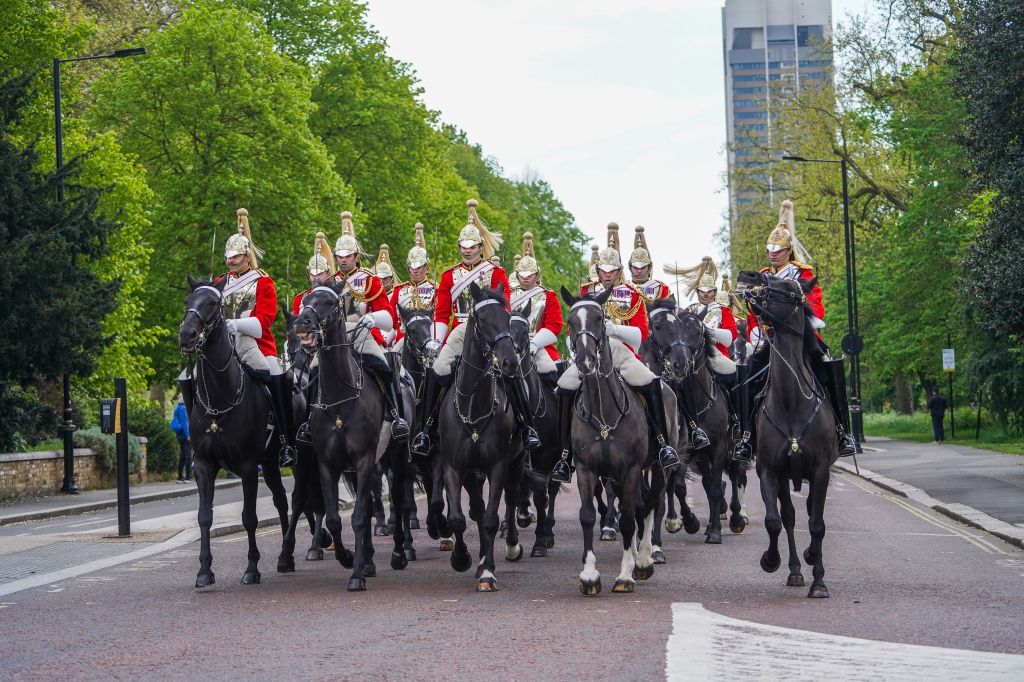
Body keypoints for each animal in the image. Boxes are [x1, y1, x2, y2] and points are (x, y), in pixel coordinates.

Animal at [178, 274, 290, 585]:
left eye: (212, 303)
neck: (220, 398)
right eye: (188, 300)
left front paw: (251, 569)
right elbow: (204, 516)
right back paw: (285, 556)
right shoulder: (203, 465)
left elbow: (249, 517)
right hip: (270, 463)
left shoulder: (249, 466)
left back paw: (290, 554)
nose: (187, 335)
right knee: (281, 501)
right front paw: (204, 570)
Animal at [292, 278, 407, 585]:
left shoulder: (365, 459)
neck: (341, 399)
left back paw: (399, 554)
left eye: (329, 302)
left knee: (399, 500)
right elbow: (334, 518)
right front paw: (348, 558)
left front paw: (356, 575)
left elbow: (356, 517)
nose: (303, 322)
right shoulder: (328, 464)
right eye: (307, 299)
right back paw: (368, 560)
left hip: (396, 457)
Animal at [438, 280, 524, 589]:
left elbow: (490, 518)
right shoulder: (453, 467)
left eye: (508, 317)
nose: (510, 363)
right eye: (483, 319)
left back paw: (506, 549)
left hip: (516, 462)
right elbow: (458, 518)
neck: (473, 406)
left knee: (509, 499)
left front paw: (487, 572)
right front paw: (461, 558)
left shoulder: (498, 466)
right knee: (475, 508)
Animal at [737, 268, 839, 598]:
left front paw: (819, 580)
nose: (747, 276)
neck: (791, 401)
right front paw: (771, 560)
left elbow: (817, 523)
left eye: (790, 289)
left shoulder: (821, 471)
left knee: (809, 514)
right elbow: (774, 521)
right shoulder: (769, 470)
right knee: (791, 517)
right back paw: (795, 570)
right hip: (784, 478)